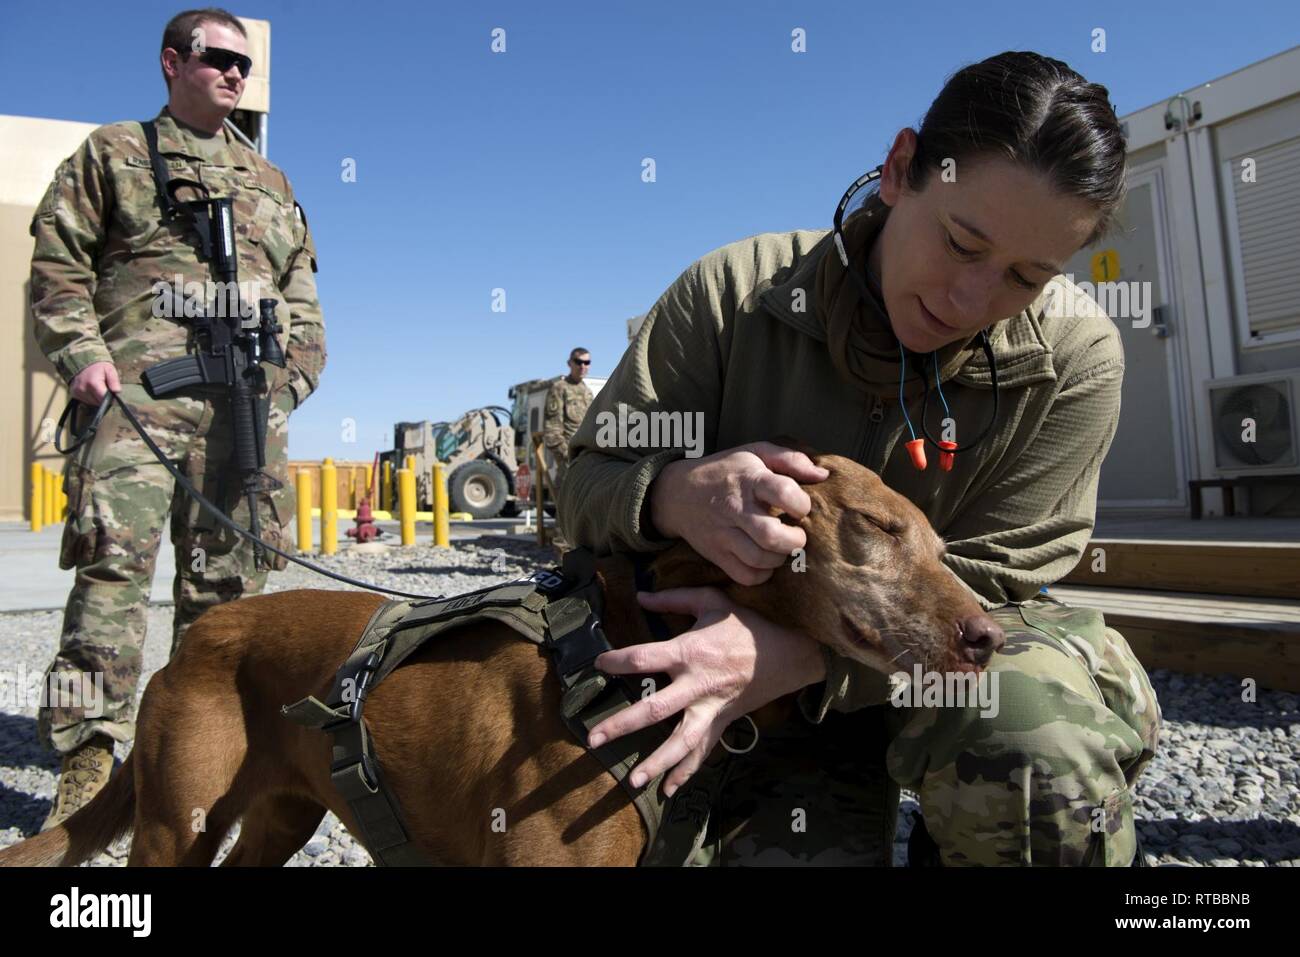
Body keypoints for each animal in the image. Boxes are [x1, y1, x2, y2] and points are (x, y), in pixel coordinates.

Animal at [0, 455, 1003, 868]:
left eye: (940, 542)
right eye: (878, 528)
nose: (990, 635)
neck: (626, 643)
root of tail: (197, 639)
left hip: (280, 816)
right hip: (178, 827)